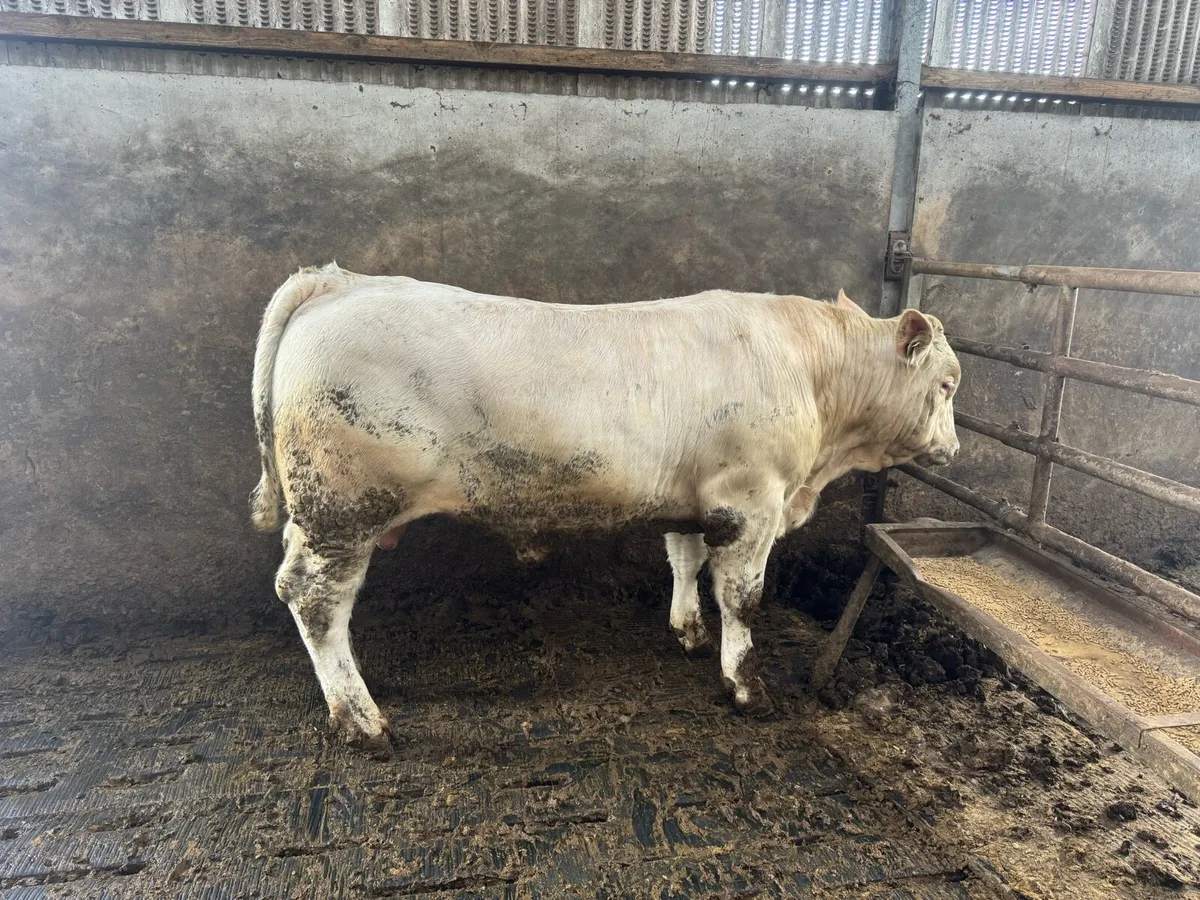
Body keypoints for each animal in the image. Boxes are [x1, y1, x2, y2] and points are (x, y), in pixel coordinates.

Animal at [250, 265, 961, 757]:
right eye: (948, 384)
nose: (953, 450)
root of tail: (339, 281)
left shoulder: (694, 501)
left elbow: (685, 561)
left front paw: (688, 630)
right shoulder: (751, 500)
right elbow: (743, 596)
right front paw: (746, 687)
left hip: (319, 516)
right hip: (343, 510)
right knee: (314, 597)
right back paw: (361, 720)